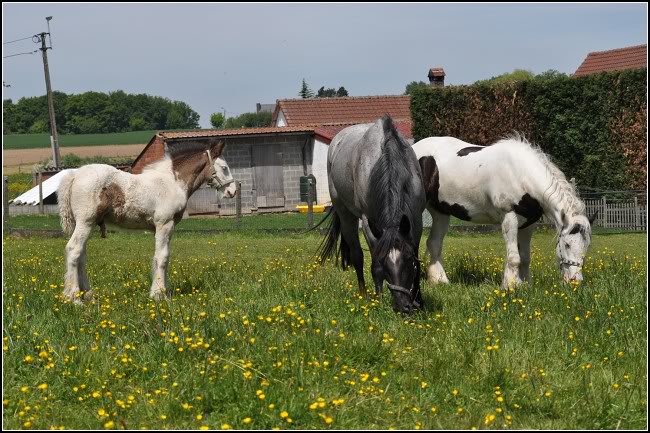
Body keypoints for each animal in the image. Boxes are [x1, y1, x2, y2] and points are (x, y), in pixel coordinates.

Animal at [57, 140, 235, 302]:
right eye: (224, 168)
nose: (232, 191)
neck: (172, 182)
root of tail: (75, 174)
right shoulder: (165, 224)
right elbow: (163, 257)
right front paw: (159, 294)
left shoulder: (162, 227)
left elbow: (159, 256)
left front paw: (161, 291)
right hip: (86, 222)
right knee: (73, 249)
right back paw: (74, 298)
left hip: (87, 224)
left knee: (81, 255)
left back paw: (88, 295)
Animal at [318, 116, 426, 312]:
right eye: (385, 262)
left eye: (407, 259)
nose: (402, 306)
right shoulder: (369, 223)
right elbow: (374, 265)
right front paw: (379, 299)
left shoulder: (416, 219)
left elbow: (418, 261)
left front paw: (419, 300)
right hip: (346, 215)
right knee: (357, 255)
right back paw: (363, 294)